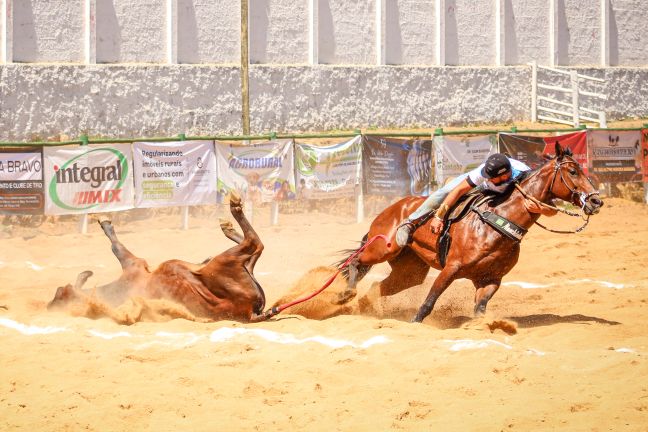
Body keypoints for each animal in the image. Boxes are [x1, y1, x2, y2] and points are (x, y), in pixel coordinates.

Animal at [336, 143, 604, 322]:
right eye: (572, 172)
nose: (596, 201)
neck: (495, 222)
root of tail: (392, 209)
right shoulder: (451, 268)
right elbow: (429, 303)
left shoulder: (491, 279)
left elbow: (480, 310)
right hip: (382, 248)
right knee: (357, 261)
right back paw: (345, 294)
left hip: (410, 271)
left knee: (376, 288)